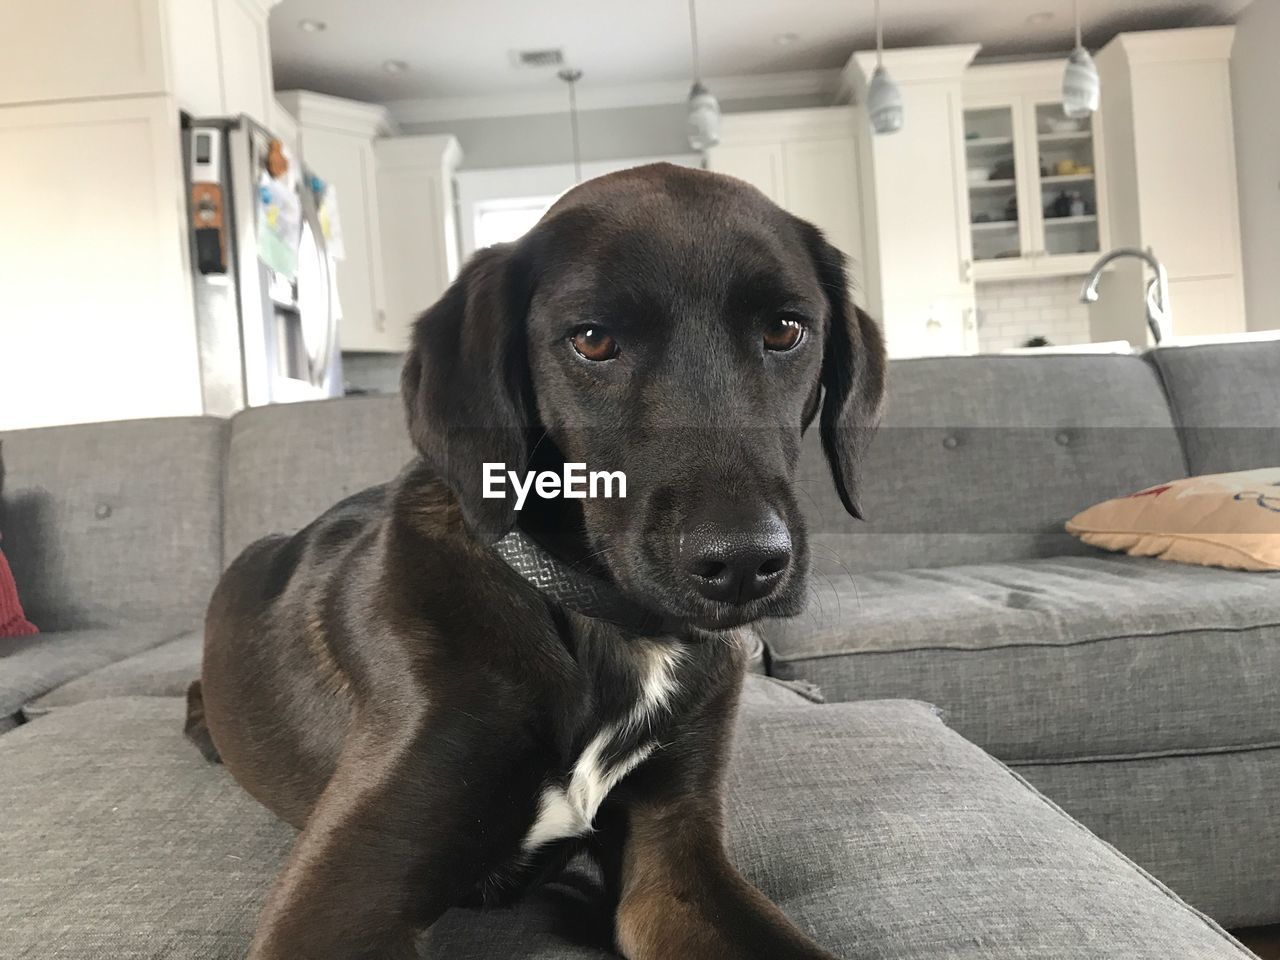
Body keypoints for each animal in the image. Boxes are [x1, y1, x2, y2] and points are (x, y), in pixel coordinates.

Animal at [194, 165, 885, 960]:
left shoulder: (675, 858)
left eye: (784, 330)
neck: (615, 629)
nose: (744, 564)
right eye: (592, 340)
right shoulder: (335, 911)